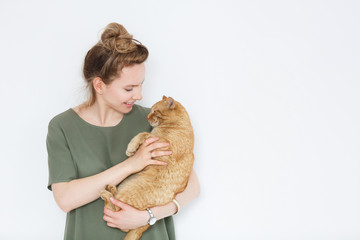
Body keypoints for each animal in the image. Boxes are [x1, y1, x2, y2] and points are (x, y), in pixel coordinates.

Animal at [98, 95, 194, 240]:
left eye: (154, 111)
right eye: (150, 110)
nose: (147, 118)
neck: (178, 125)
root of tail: (143, 226)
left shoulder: (162, 143)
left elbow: (144, 134)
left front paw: (131, 147)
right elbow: (146, 134)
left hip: (127, 193)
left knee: (115, 211)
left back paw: (105, 193)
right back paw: (111, 189)